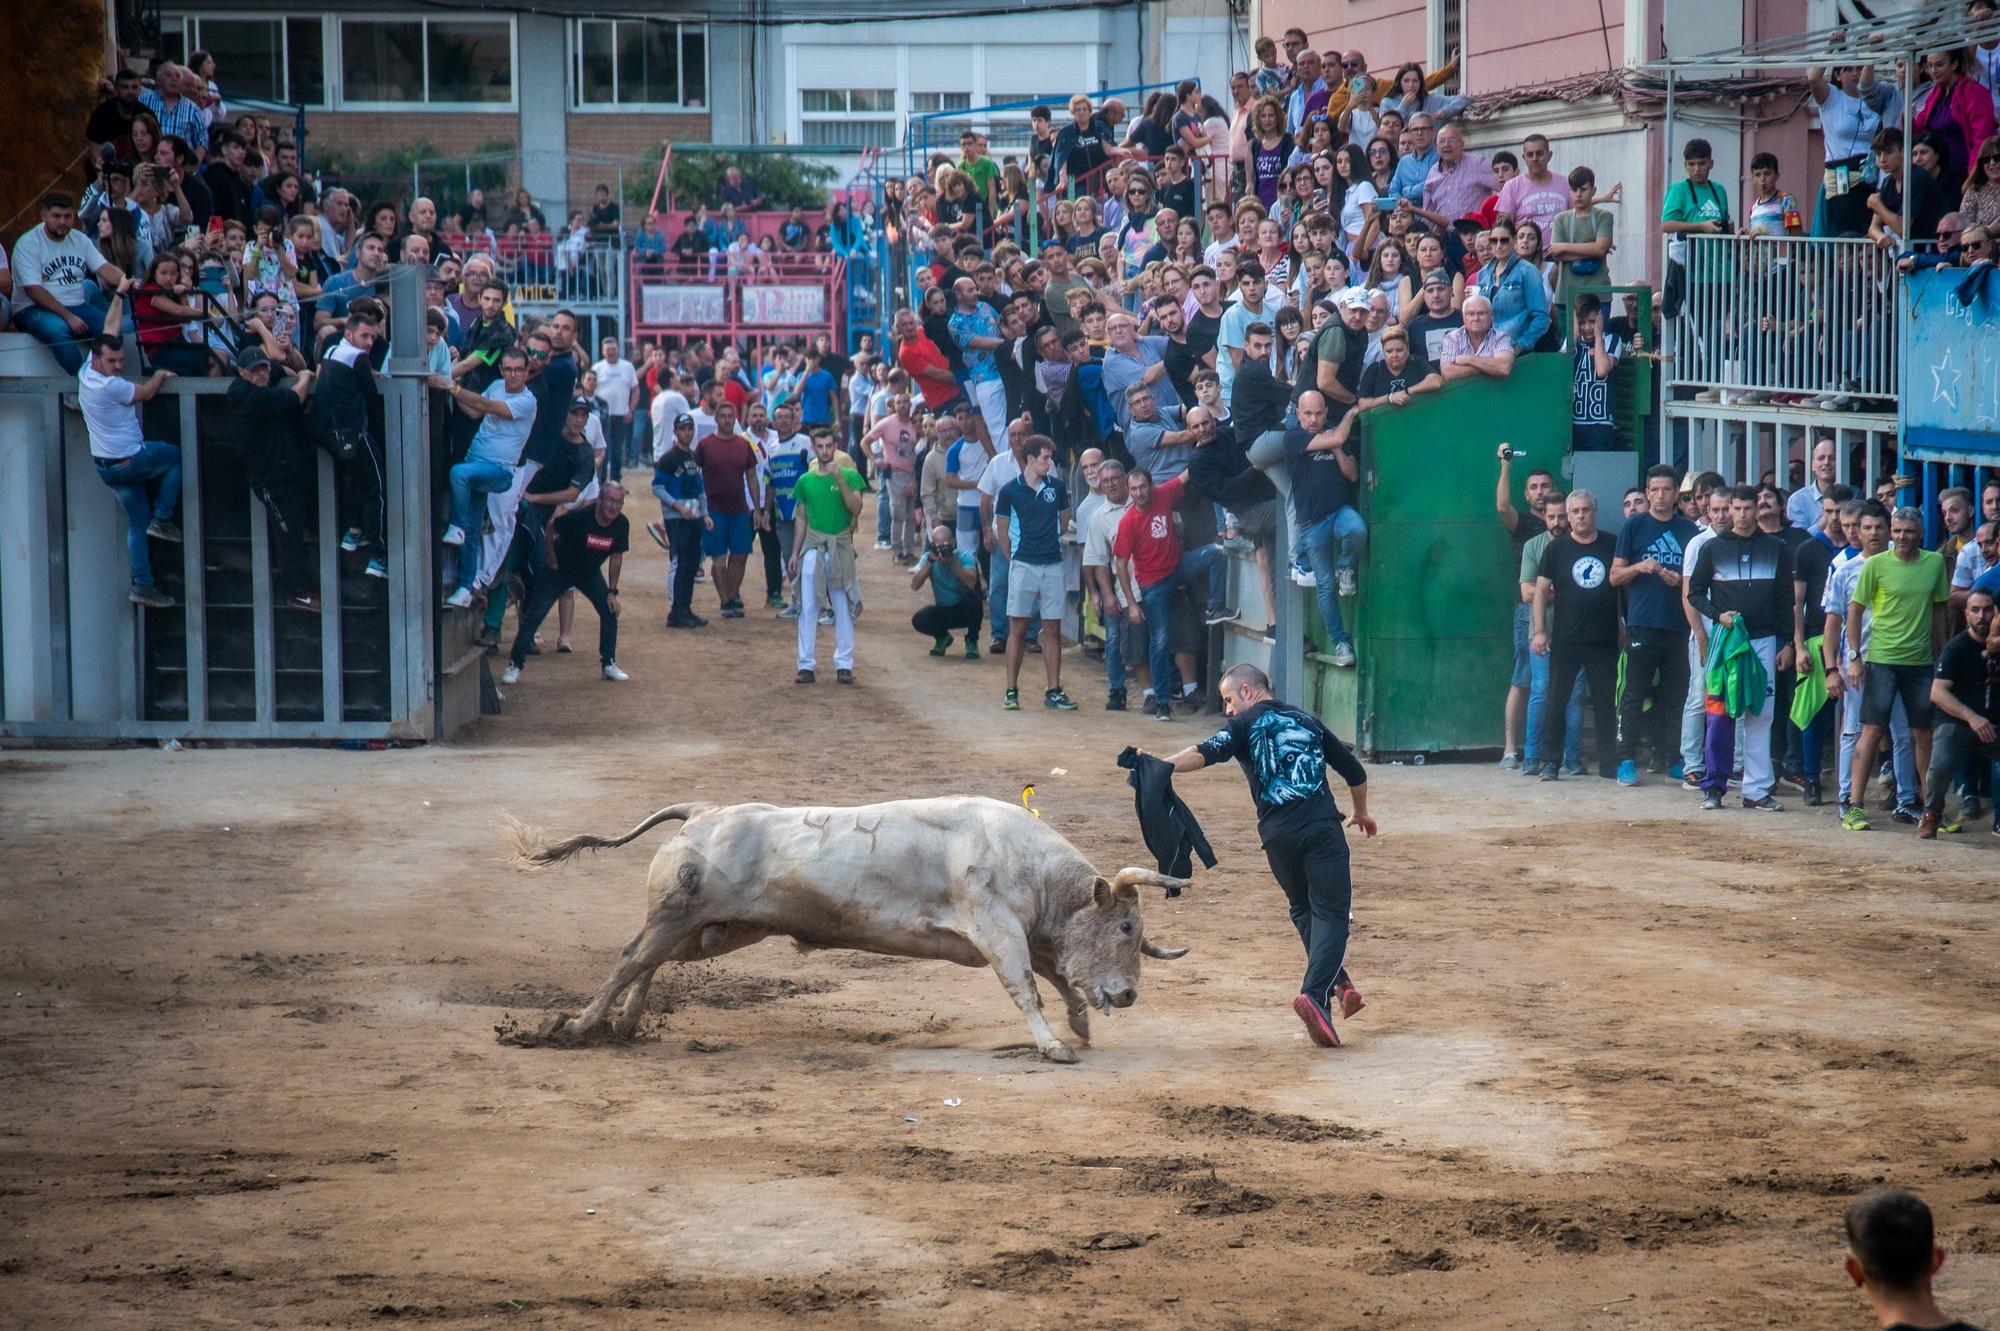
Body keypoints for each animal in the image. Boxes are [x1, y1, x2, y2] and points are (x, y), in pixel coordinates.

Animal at [508, 791, 1184, 1063]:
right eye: (1126, 927)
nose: (1129, 994)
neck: (1037, 868)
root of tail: (702, 811)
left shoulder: (1032, 936)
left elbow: (1061, 979)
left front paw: (1080, 1025)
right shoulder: (997, 929)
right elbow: (1026, 986)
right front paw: (1052, 1046)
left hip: (714, 929)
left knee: (649, 962)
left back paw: (624, 1024)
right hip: (679, 913)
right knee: (630, 957)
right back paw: (579, 1027)